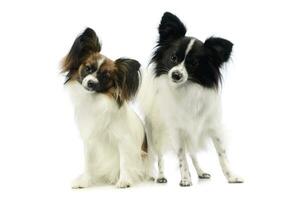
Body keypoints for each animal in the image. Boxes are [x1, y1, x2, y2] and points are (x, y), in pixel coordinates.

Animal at [62, 27, 149, 188]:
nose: (90, 83)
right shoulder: (89, 141)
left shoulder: (123, 140)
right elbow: (88, 163)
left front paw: (124, 181)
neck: (96, 100)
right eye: (88, 69)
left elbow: (124, 162)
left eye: (105, 76)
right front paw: (85, 181)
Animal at [138, 12, 243, 186]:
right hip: (156, 133)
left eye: (194, 63)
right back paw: (161, 176)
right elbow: (181, 156)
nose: (176, 74)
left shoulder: (213, 127)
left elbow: (222, 154)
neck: (187, 89)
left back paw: (200, 172)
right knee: (160, 156)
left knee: (193, 153)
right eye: (173, 58)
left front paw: (231, 176)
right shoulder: (177, 130)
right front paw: (185, 178)